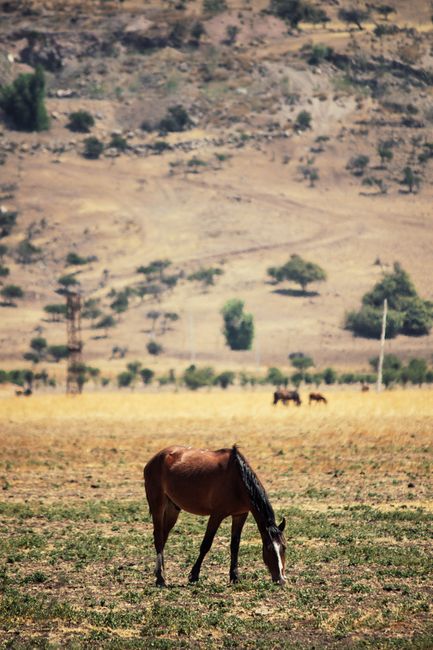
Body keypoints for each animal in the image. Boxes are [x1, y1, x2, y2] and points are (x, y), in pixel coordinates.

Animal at [144, 444, 286, 587]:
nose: (281, 579)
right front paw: (193, 575)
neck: (236, 480)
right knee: (158, 537)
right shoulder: (216, 515)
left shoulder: (240, 515)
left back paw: (160, 573)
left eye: (284, 547)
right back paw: (160, 578)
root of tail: (155, 459)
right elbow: (206, 544)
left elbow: (235, 545)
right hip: (158, 506)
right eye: (269, 549)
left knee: (163, 537)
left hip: (173, 509)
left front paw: (235, 577)